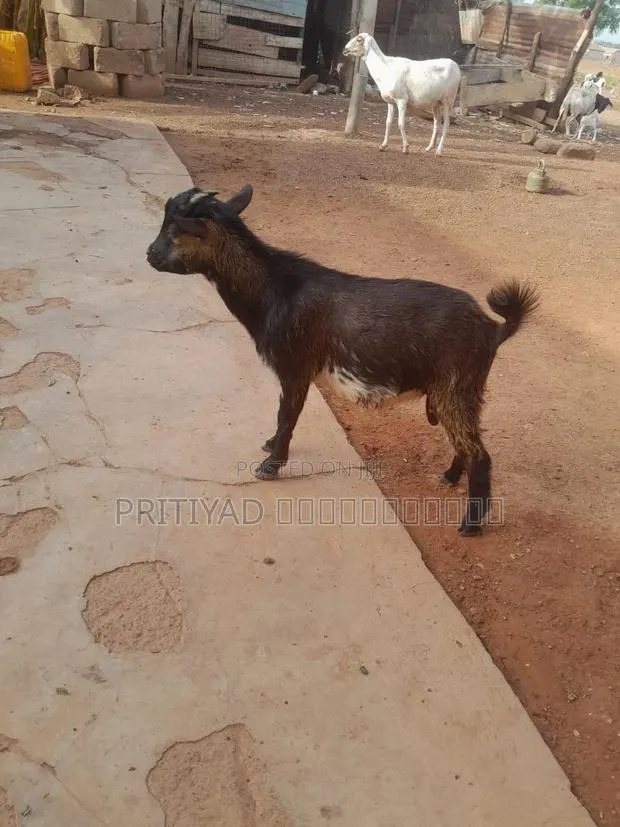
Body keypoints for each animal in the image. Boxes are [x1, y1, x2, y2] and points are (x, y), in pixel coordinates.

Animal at [146, 186, 539, 537]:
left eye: (174, 230)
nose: (149, 255)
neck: (275, 291)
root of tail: (493, 328)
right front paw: (270, 446)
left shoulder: (295, 367)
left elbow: (286, 416)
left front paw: (271, 465)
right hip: (462, 391)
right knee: (467, 440)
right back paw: (450, 476)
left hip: (456, 386)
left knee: (480, 453)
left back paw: (471, 524)